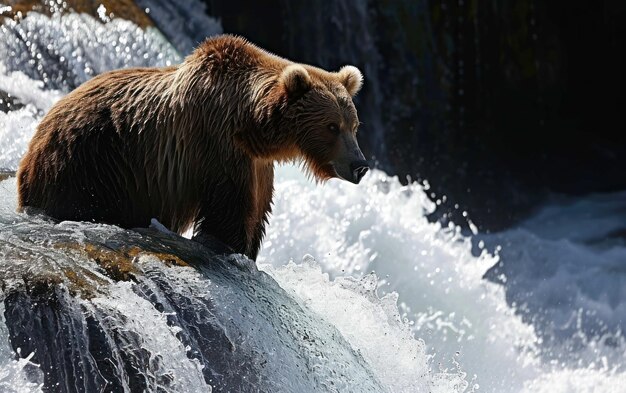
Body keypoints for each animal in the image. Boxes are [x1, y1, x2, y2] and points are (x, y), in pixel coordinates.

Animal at [15, 34, 366, 260]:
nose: (360, 165)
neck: (252, 127)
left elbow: (258, 209)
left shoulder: (257, 164)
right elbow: (227, 209)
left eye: (353, 126)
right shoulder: (216, 145)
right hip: (86, 163)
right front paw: (230, 247)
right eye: (332, 126)